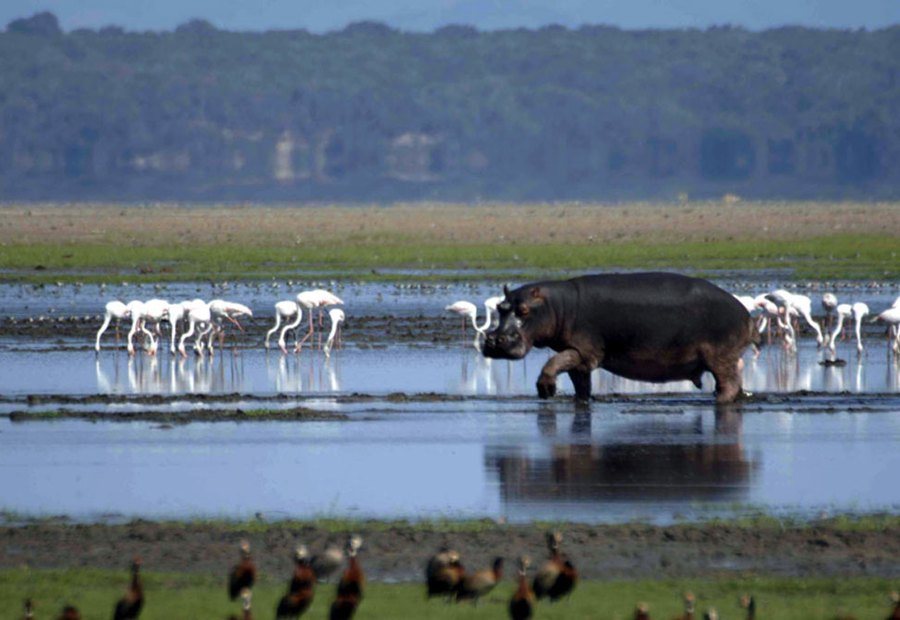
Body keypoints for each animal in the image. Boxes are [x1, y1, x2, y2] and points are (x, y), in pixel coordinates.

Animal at [482, 272, 756, 403]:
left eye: (524, 310)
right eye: (500, 308)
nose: (494, 340)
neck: (556, 306)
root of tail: (744, 312)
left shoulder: (584, 351)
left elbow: (553, 362)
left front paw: (546, 390)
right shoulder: (579, 358)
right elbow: (580, 382)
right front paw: (581, 400)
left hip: (720, 356)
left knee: (729, 384)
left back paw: (718, 400)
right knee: (735, 382)